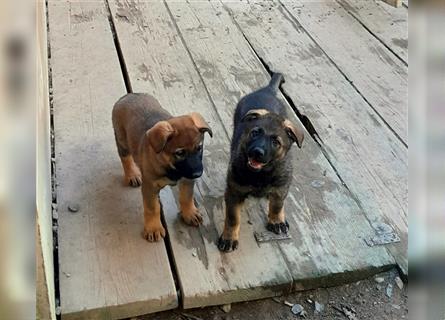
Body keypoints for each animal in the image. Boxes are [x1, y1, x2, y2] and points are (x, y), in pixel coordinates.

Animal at [112, 94, 213, 241]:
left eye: (199, 148)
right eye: (180, 153)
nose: (198, 173)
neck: (170, 167)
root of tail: (128, 95)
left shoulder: (187, 179)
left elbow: (186, 197)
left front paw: (189, 213)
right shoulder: (150, 186)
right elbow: (152, 208)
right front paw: (153, 228)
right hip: (122, 140)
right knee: (125, 158)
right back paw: (132, 174)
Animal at [218, 74, 304, 251]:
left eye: (276, 142)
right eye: (255, 133)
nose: (257, 152)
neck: (261, 174)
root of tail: (267, 90)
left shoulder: (280, 187)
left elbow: (277, 205)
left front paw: (276, 220)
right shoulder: (234, 192)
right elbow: (232, 218)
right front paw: (229, 238)